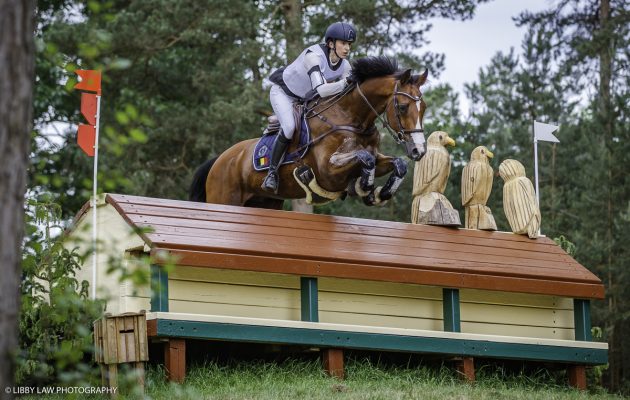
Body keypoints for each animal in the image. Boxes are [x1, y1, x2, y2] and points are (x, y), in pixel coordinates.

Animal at [189, 57, 430, 211]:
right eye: (402, 107)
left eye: (424, 108)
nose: (418, 150)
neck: (352, 118)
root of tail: (220, 160)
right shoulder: (328, 171)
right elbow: (365, 158)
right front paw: (364, 187)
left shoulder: (376, 157)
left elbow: (398, 164)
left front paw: (380, 193)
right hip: (224, 199)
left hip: (265, 202)